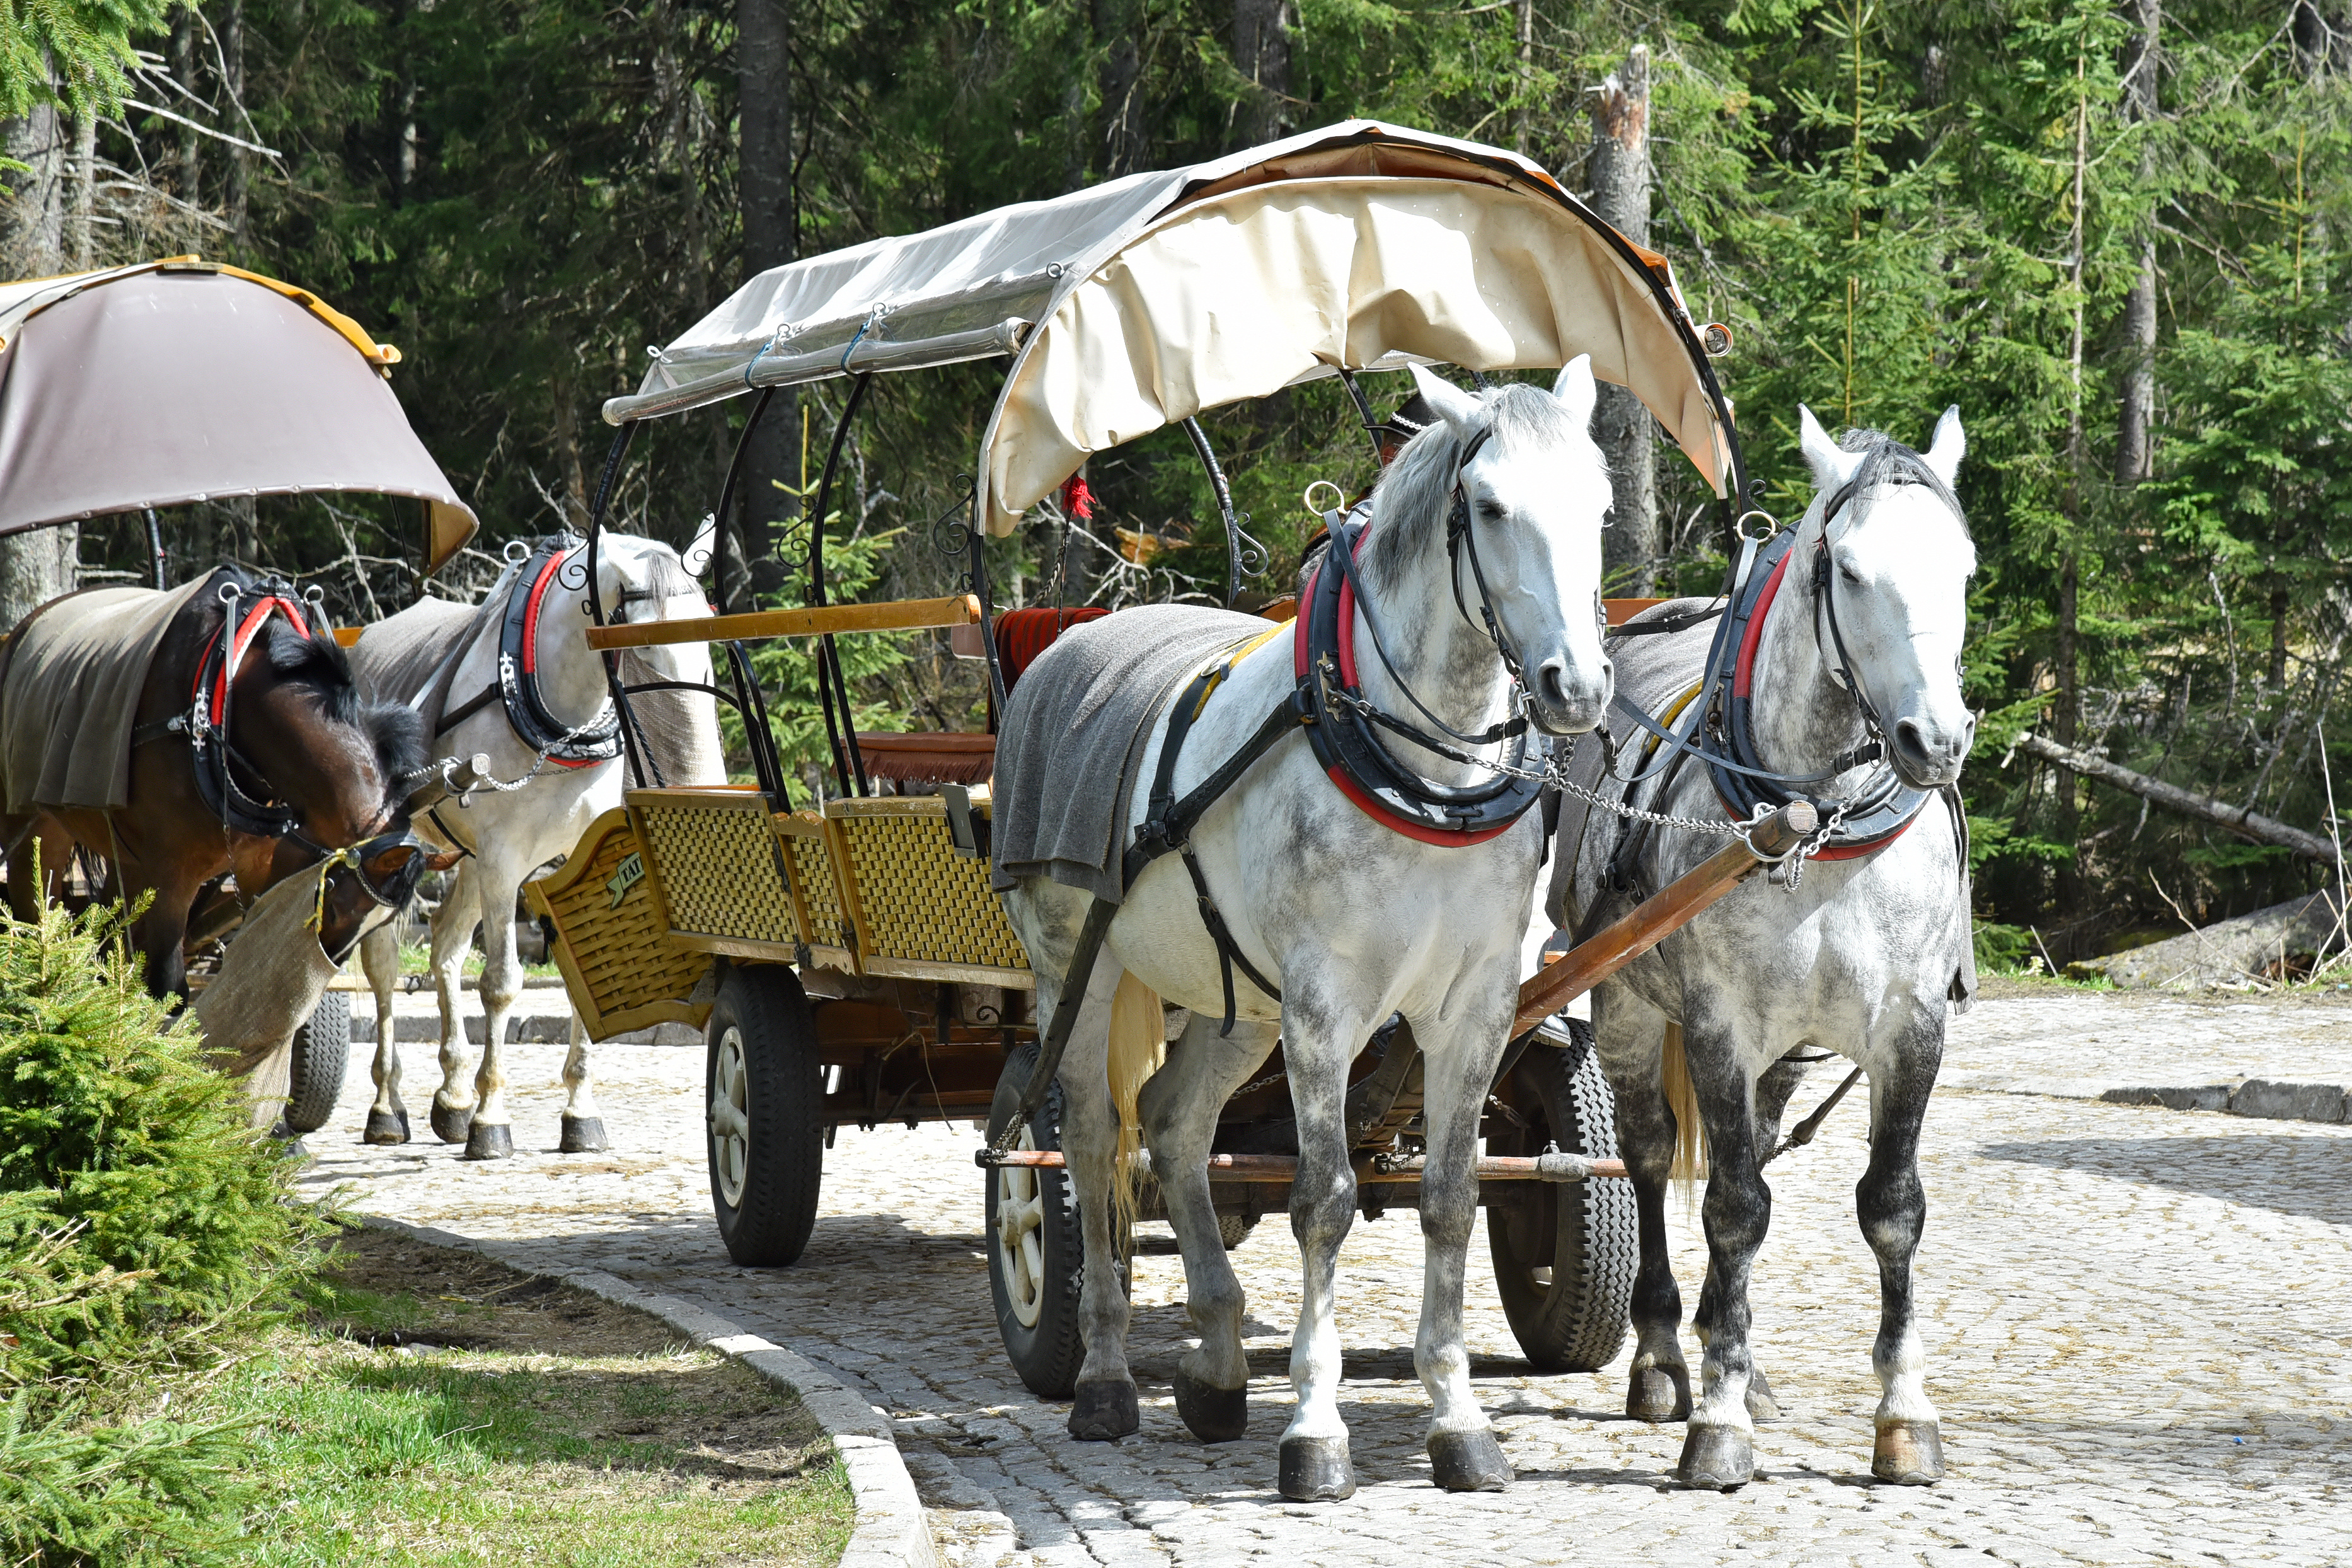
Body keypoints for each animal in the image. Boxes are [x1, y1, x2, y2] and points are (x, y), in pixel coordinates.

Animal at [0, 571, 430, 1001]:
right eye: (339, 906)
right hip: (26, 825)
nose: (326, 966)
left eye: (377, 925)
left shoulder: (261, 869)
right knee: (33, 918)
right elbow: (169, 988)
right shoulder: (173, 877)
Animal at [352, 533, 719, 1161]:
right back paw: (388, 1105)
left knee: (446, 946)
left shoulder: (566, 857)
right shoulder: (504, 860)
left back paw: (453, 1096)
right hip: (395, 846)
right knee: (382, 968)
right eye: (643, 649)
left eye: (707, 647)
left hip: (470, 859)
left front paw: (579, 1114)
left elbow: (581, 977)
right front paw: (492, 1120)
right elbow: (501, 986)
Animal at [992, 362, 1618, 1504]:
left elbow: (1452, 1198)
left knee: (1175, 1123)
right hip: (1078, 970)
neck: (1416, 764)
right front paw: (1316, 1429)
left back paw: (1216, 1364)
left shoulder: (1475, 1006)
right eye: (1489, 506)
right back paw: (1104, 1380)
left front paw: (1458, 1421)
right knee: (1095, 1142)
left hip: (1239, 999)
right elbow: (1322, 1198)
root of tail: (1072, 637)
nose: (1577, 686)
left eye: (1598, 508)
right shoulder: (1326, 1004)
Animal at [1552, 411, 1975, 1495]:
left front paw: (1903, 1415)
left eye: (1963, 567)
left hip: (1792, 1049)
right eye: (1850, 569)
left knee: (1766, 1140)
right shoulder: (1718, 1026)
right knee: (1651, 1157)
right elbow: (1736, 1208)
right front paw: (1719, 1420)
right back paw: (1669, 1358)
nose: (1937, 739)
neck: (1818, 826)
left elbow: (1892, 1208)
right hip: (1625, 1005)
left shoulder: (1912, 1027)